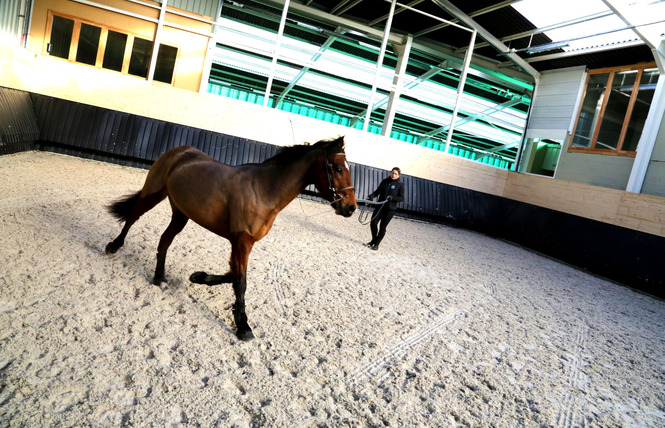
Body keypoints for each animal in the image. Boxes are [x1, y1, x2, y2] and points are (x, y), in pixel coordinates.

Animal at [104, 137, 356, 342]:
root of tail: (178, 151)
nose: (351, 207)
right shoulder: (242, 241)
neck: (264, 190)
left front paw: (199, 277)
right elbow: (240, 281)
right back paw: (113, 246)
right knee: (133, 217)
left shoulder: (244, 243)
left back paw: (159, 277)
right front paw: (243, 327)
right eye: (337, 168)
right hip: (153, 193)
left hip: (181, 214)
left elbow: (233, 275)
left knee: (164, 240)